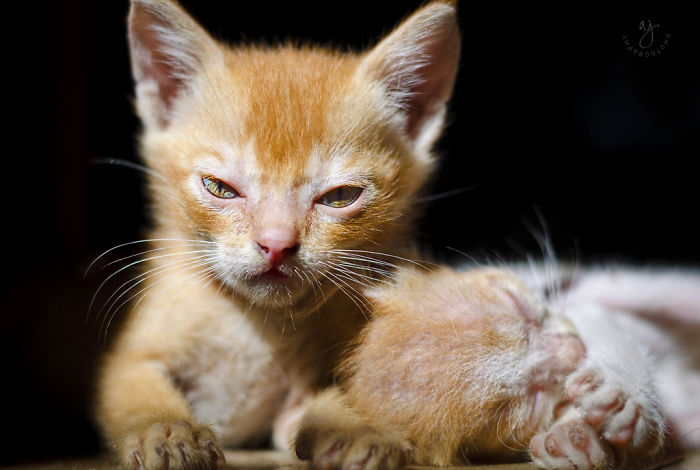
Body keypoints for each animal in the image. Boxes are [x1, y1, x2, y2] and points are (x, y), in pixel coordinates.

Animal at [95, 0, 462, 470]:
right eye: (219, 188)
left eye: (340, 196)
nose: (276, 244)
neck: (252, 324)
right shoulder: (130, 358)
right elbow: (137, 393)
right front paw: (166, 428)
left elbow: (324, 406)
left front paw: (354, 429)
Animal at [296, 264, 700, 470]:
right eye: (529, 403)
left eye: (519, 307)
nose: (574, 349)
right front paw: (574, 440)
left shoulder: (585, 310)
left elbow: (609, 328)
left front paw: (625, 400)